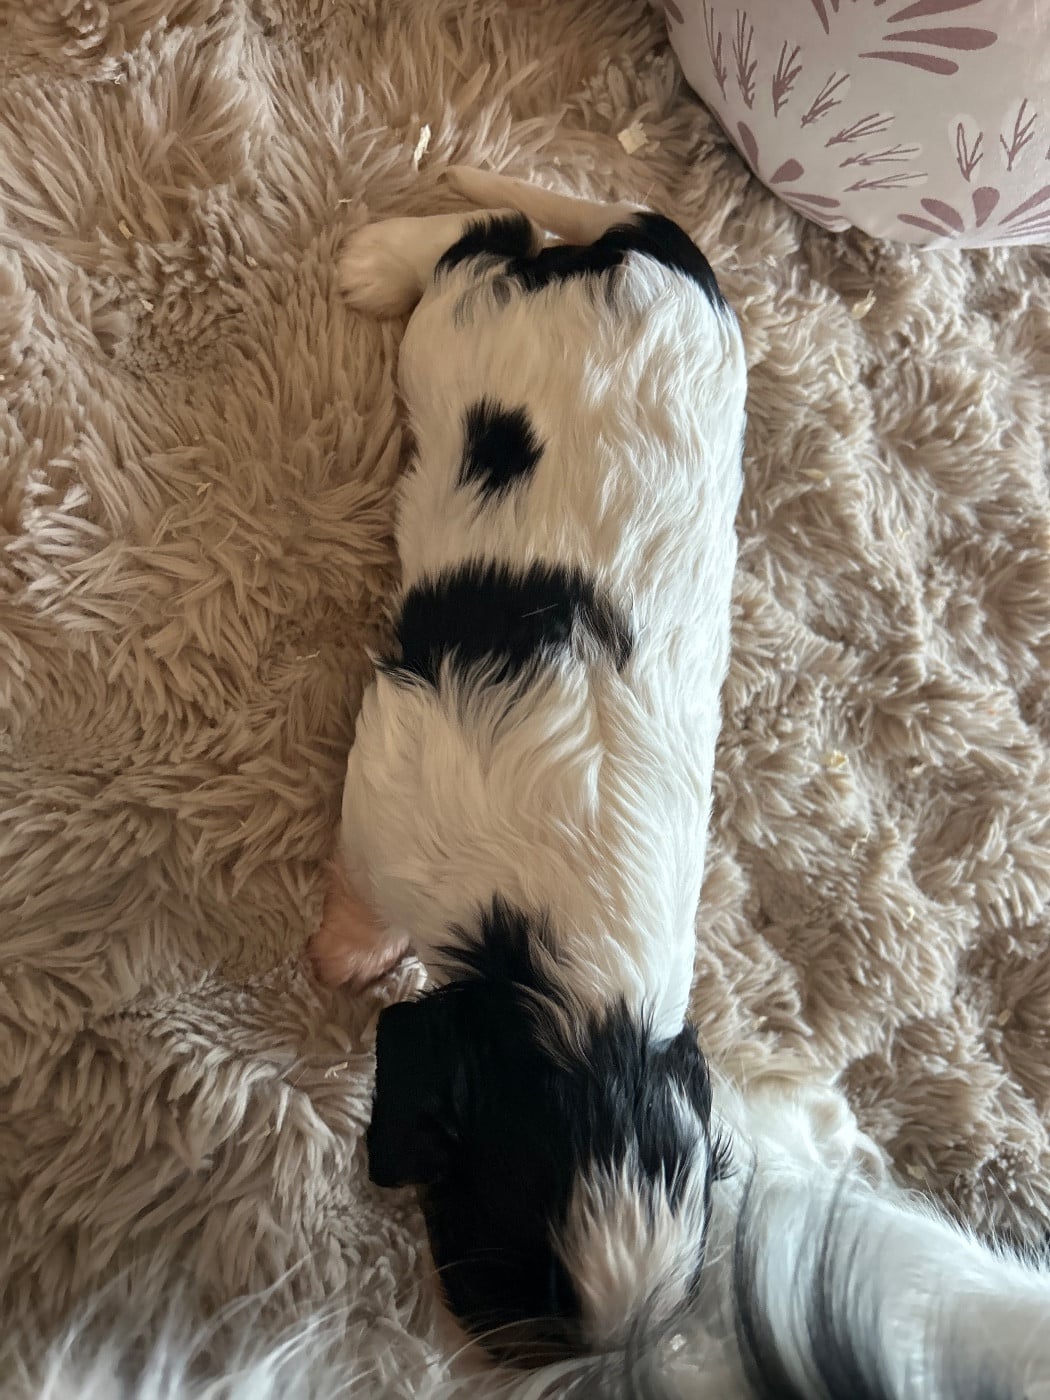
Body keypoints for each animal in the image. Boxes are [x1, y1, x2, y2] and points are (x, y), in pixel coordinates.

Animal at [310, 169, 1050, 1396]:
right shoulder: (392, 795)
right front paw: (347, 953)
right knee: (484, 240)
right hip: (467, 328)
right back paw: (376, 260)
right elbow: (360, 889)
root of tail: (664, 254)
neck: (578, 985)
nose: (478, 1361)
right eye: (484, 1259)